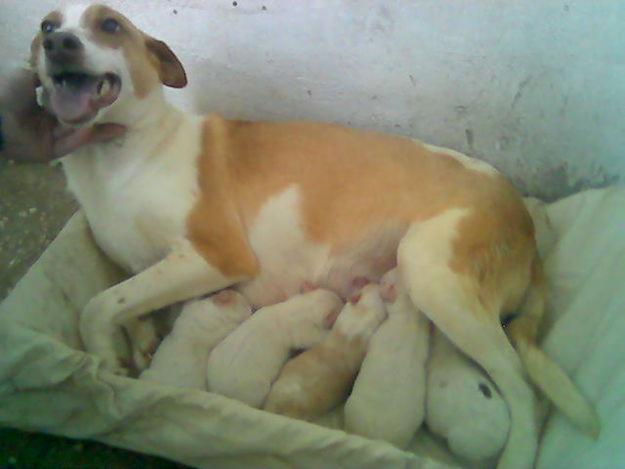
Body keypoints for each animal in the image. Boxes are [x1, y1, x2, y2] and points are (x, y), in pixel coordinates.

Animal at [206, 288, 342, 406]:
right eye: (340, 304)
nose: (343, 300)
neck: (301, 307)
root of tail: (219, 392)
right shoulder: (302, 330)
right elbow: (312, 338)